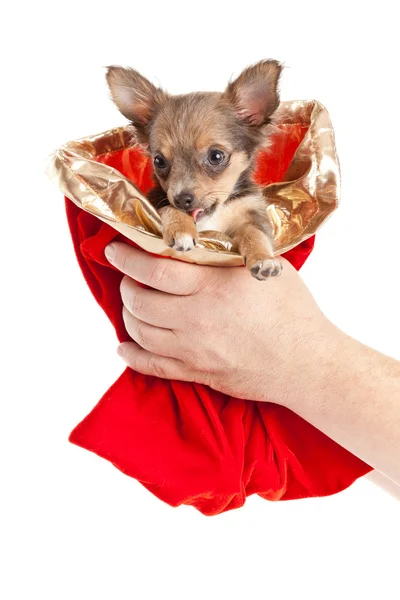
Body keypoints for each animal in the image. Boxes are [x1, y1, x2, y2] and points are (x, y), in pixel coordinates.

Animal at [104, 59, 282, 280]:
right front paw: (181, 230)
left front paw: (263, 258)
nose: (182, 199)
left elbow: (256, 233)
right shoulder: (156, 200)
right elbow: (169, 208)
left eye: (216, 156)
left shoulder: (251, 211)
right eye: (159, 161)